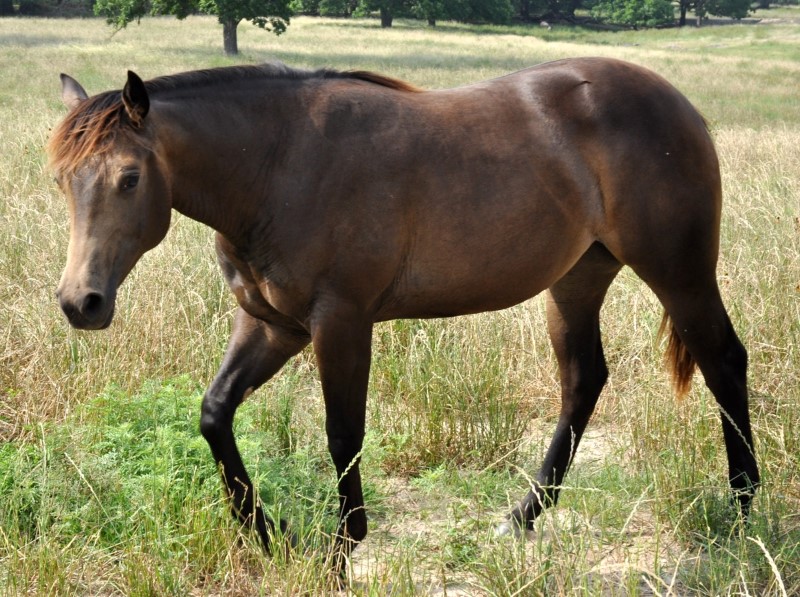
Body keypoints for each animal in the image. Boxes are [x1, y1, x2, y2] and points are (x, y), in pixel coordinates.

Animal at [47, 58, 760, 572]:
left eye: (130, 177)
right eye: (61, 180)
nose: (82, 303)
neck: (279, 165)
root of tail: (678, 103)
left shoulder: (340, 322)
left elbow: (343, 435)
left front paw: (343, 548)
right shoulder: (271, 325)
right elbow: (214, 414)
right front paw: (270, 533)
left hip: (678, 272)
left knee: (724, 361)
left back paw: (745, 512)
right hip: (578, 280)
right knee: (584, 381)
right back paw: (524, 515)